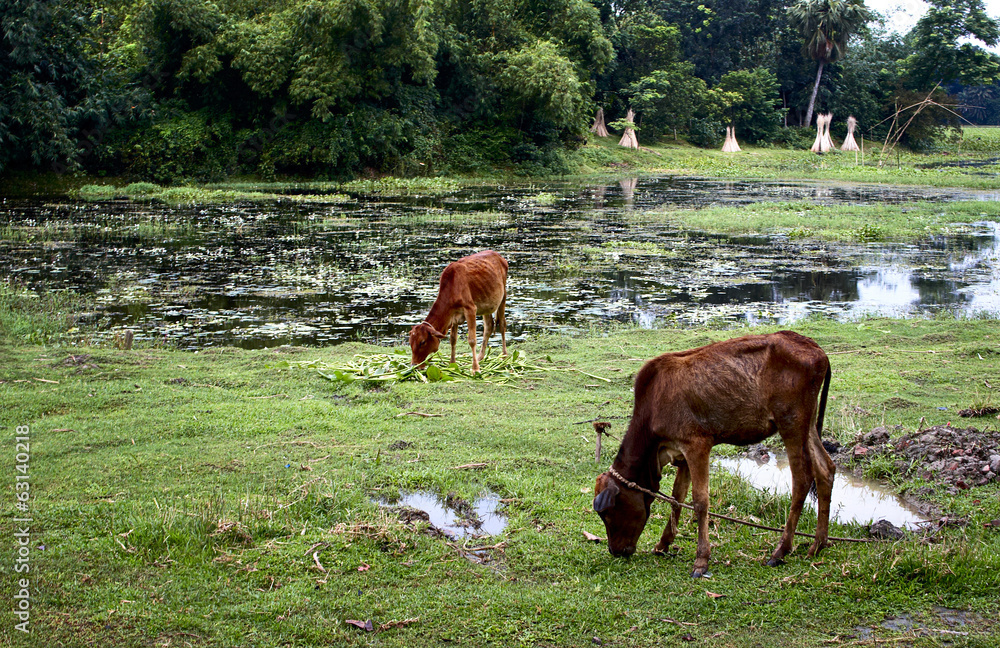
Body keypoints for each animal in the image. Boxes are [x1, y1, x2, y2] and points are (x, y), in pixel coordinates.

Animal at [593, 331, 834, 578]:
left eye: (608, 513)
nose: (615, 551)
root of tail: (813, 347)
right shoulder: (682, 455)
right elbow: (677, 498)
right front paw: (663, 544)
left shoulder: (697, 445)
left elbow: (700, 502)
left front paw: (701, 560)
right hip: (808, 423)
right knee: (826, 469)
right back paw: (818, 544)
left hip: (791, 423)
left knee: (802, 479)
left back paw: (780, 551)